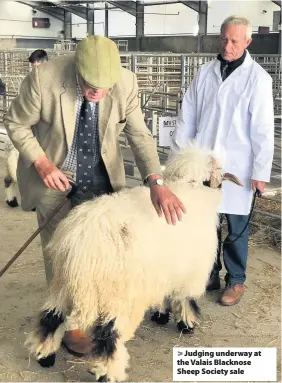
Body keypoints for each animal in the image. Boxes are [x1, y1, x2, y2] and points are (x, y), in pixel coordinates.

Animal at [27, 145, 242, 383]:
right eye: (217, 168)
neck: (190, 189)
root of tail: (82, 241)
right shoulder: (188, 272)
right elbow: (184, 299)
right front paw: (187, 324)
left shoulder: (162, 272)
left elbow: (163, 297)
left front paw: (160, 314)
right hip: (118, 297)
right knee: (108, 336)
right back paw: (108, 374)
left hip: (62, 285)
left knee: (50, 318)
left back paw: (45, 356)